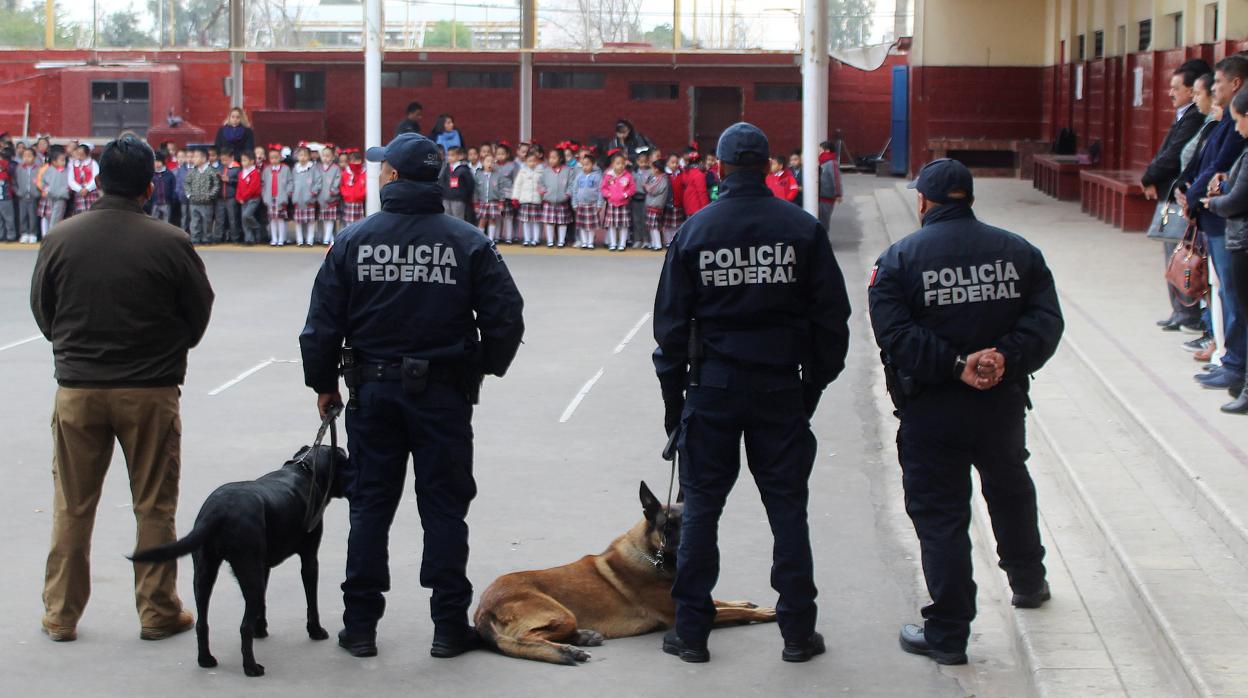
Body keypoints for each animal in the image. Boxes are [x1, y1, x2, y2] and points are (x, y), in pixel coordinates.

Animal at [132, 444, 349, 679]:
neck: (305, 469)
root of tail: (217, 511)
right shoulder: (309, 559)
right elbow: (312, 601)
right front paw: (316, 631)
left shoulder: (263, 566)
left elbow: (263, 604)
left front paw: (260, 629)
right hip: (248, 573)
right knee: (243, 627)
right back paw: (251, 667)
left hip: (205, 573)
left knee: (202, 622)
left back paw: (206, 659)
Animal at [471, 484, 773, 664]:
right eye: (668, 526)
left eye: (689, 522)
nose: (694, 547)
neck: (653, 557)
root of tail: (483, 606)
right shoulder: (677, 615)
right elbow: (727, 611)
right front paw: (765, 613)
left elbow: (721, 602)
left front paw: (746, 603)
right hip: (560, 613)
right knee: (524, 639)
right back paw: (570, 649)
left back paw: (583, 638)